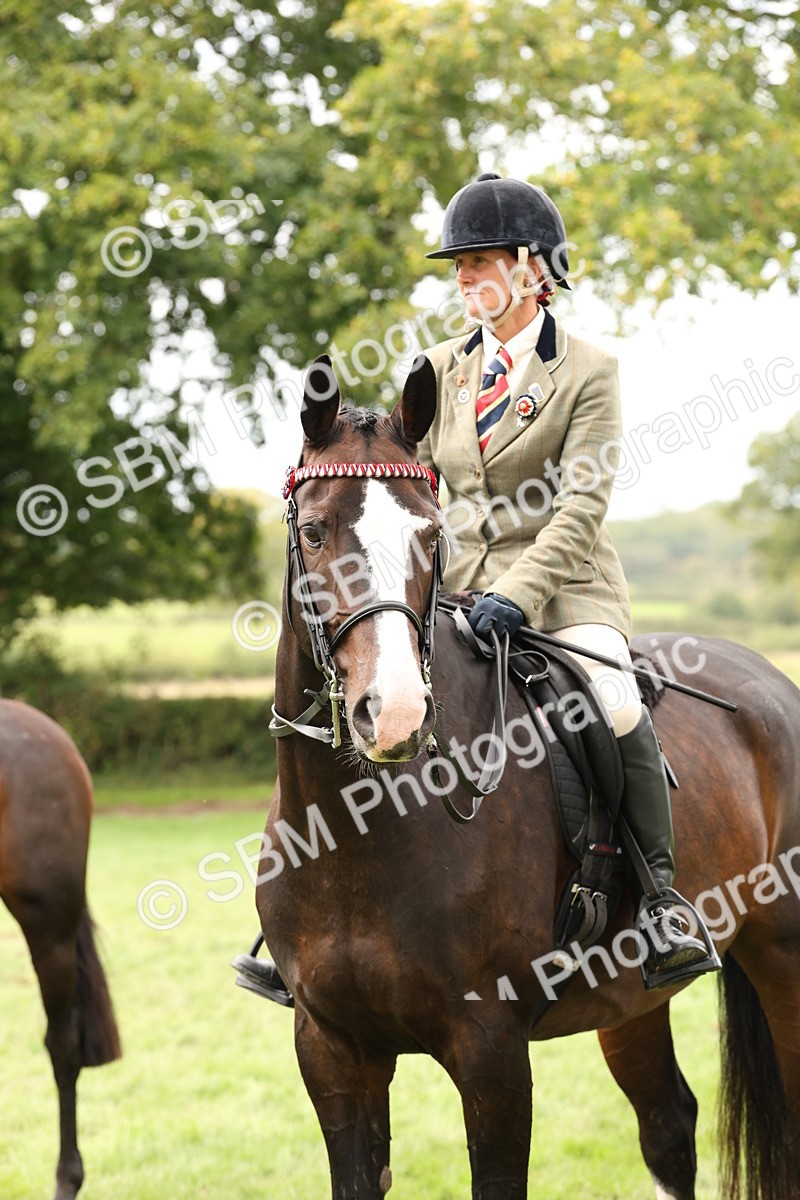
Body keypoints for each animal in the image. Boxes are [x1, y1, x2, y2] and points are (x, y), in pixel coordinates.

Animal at [255, 353, 800, 1200]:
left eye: (432, 534)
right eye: (313, 531)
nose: (395, 714)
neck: (356, 832)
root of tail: (768, 678)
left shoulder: (492, 1051)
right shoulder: (331, 1049)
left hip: (784, 954)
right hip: (628, 998)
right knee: (668, 1124)